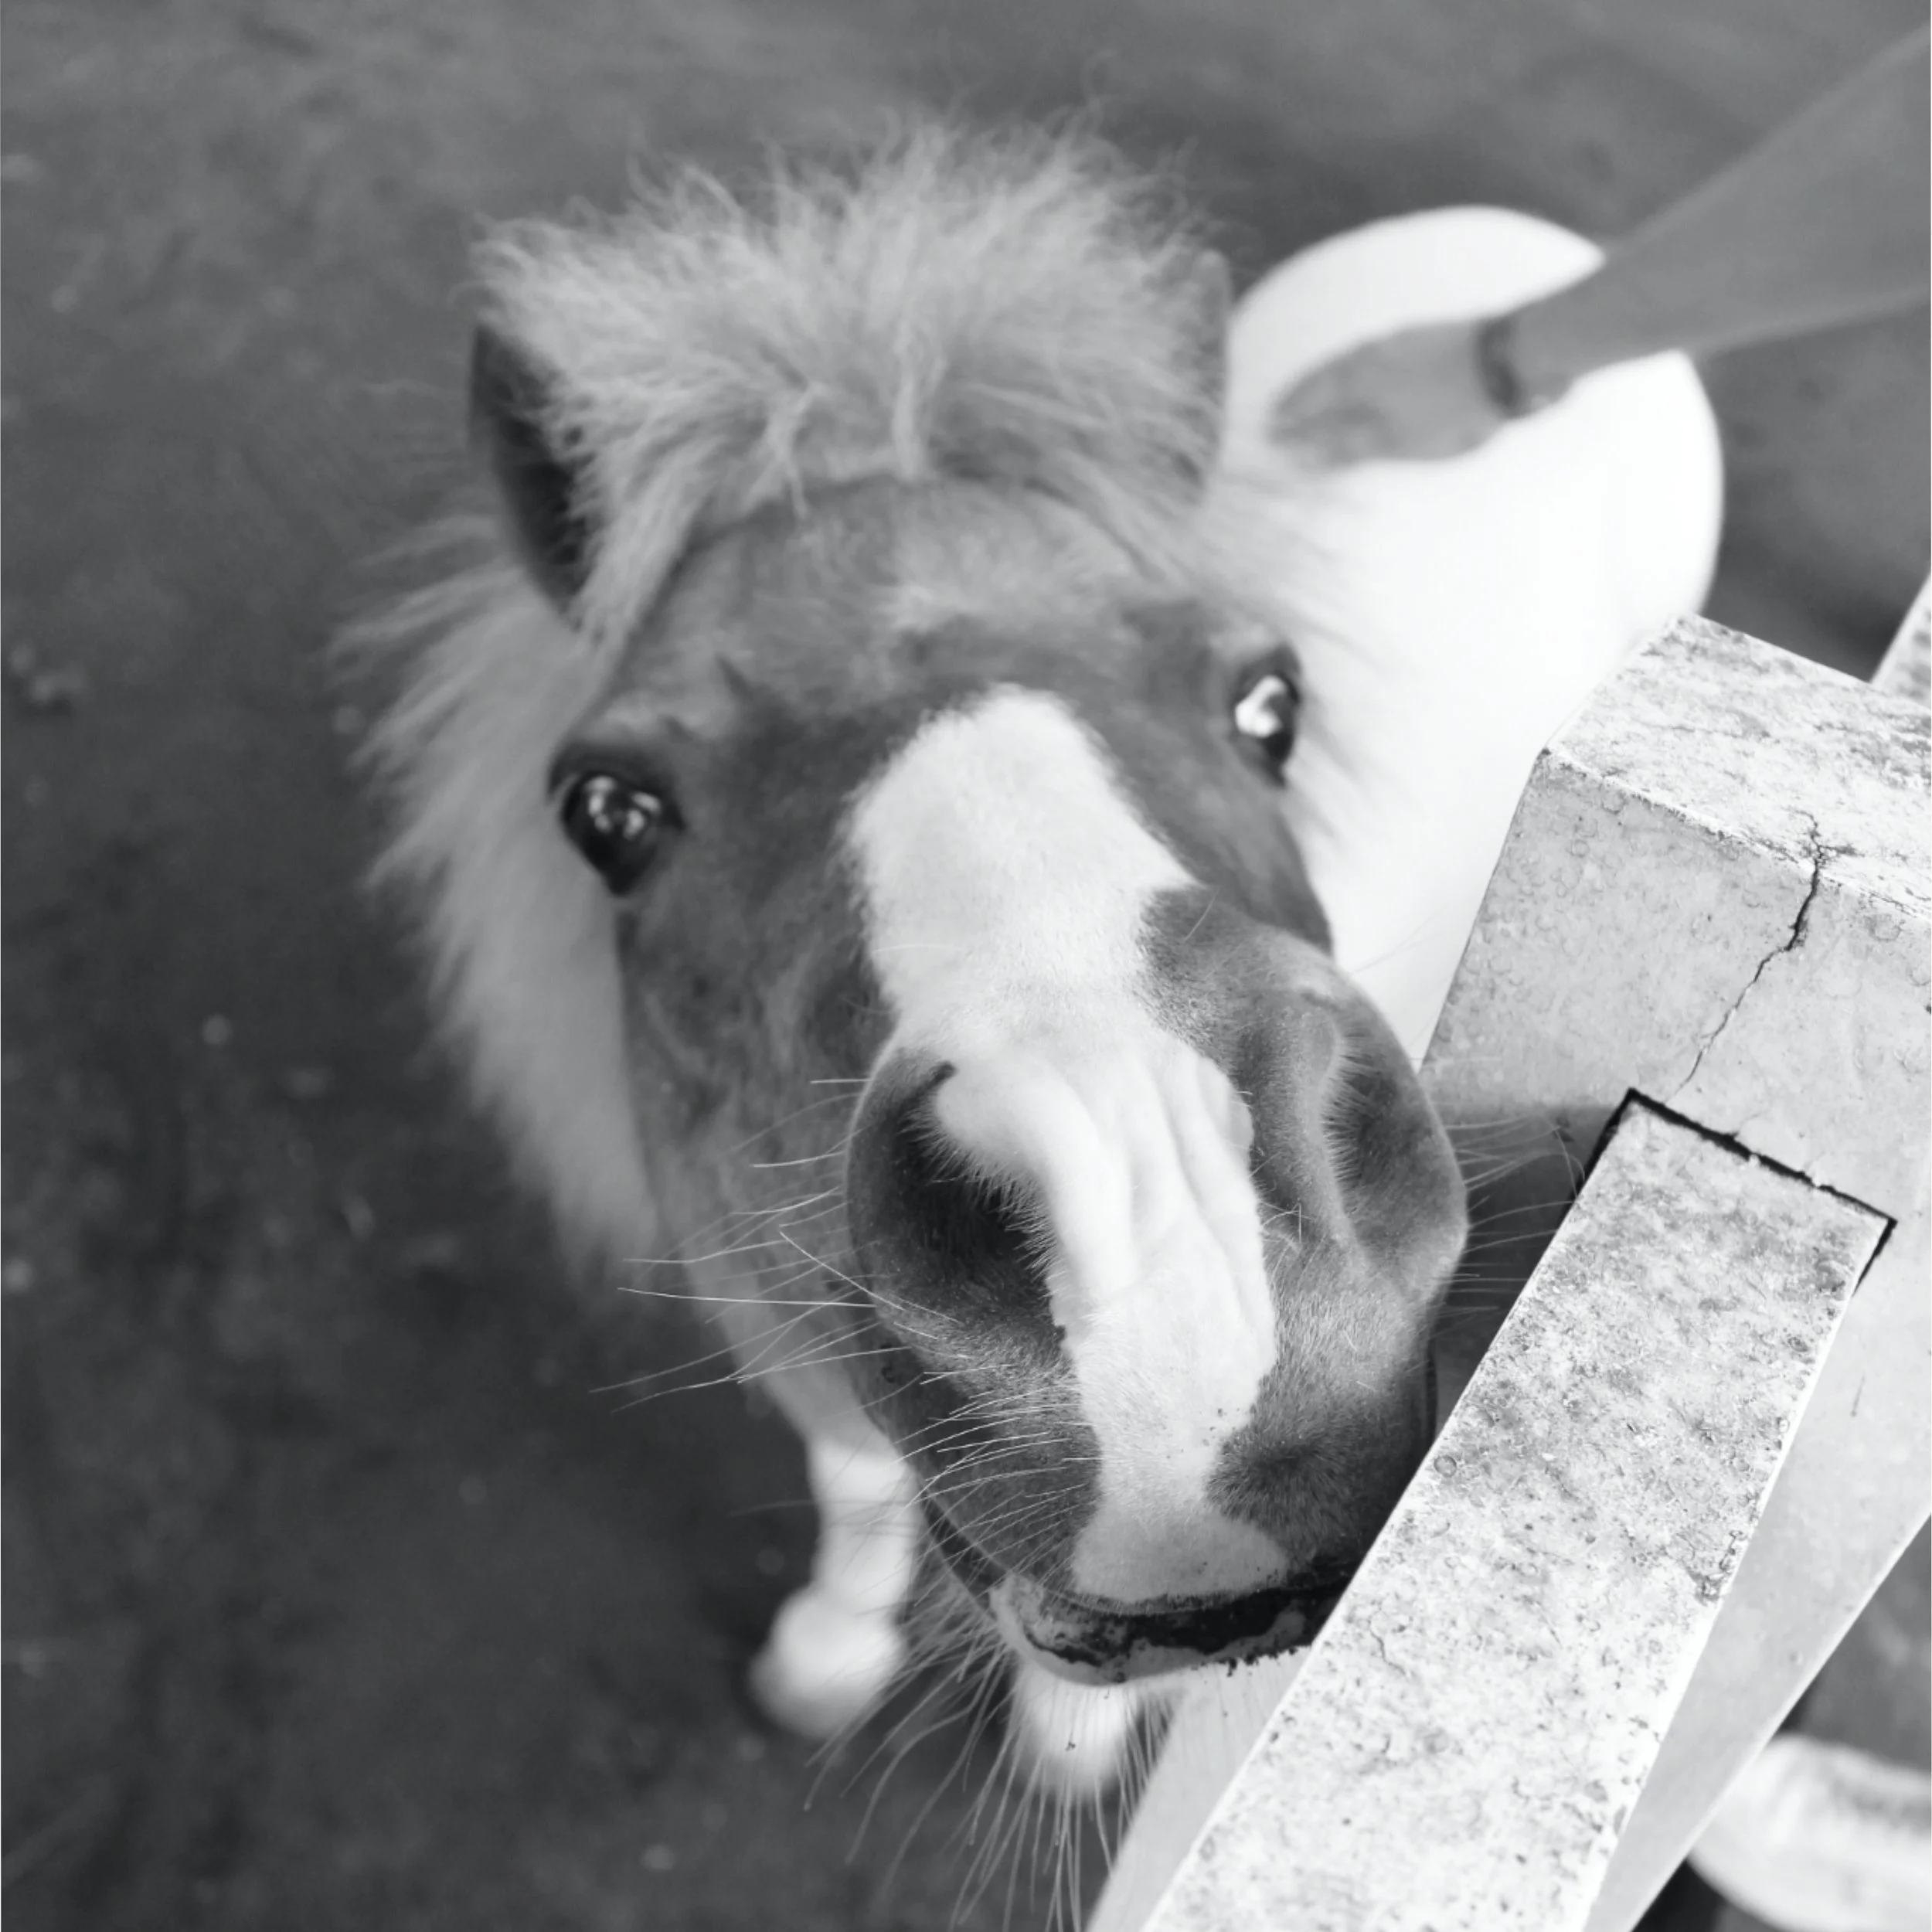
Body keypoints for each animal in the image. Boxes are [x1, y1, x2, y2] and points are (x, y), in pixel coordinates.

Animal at [356, 122, 1721, 1844]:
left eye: (1269, 701)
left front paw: (1072, 1740)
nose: (1149, 1186)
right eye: (607, 811)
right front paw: (826, 1657)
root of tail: (1527, 254)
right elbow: (862, 1488)